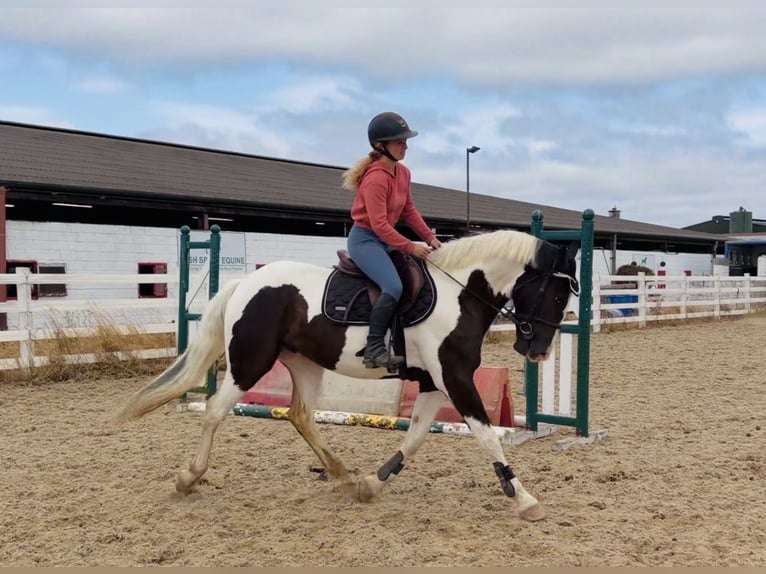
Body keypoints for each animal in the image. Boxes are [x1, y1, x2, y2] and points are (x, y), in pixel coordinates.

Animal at [111, 228, 579, 522]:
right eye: (557, 294)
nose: (538, 351)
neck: (458, 292)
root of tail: (245, 283)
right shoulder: (455, 379)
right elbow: (486, 436)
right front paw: (524, 498)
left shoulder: (434, 382)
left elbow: (416, 435)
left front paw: (371, 483)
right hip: (250, 364)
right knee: (214, 411)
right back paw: (188, 477)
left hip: (304, 365)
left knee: (300, 415)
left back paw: (340, 473)